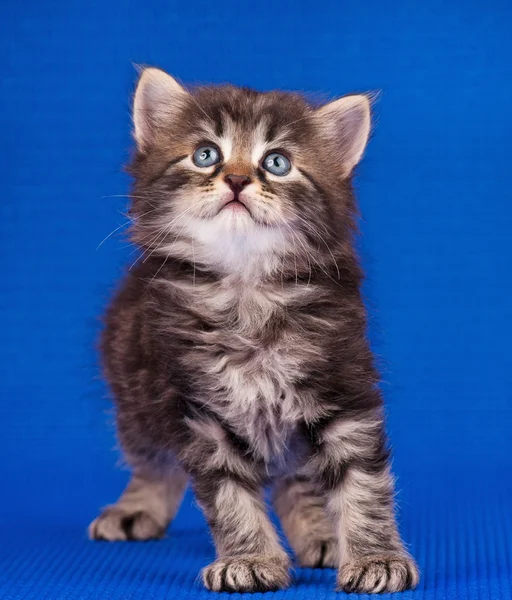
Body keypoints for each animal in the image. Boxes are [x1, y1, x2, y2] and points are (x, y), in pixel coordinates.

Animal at [88, 68, 418, 592]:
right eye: (206, 155)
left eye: (277, 163)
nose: (239, 178)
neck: (247, 293)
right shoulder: (196, 410)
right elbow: (229, 496)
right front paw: (250, 559)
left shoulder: (345, 391)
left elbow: (362, 484)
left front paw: (374, 557)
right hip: (135, 395)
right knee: (152, 462)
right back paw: (137, 508)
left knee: (298, 480)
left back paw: (320, 534)